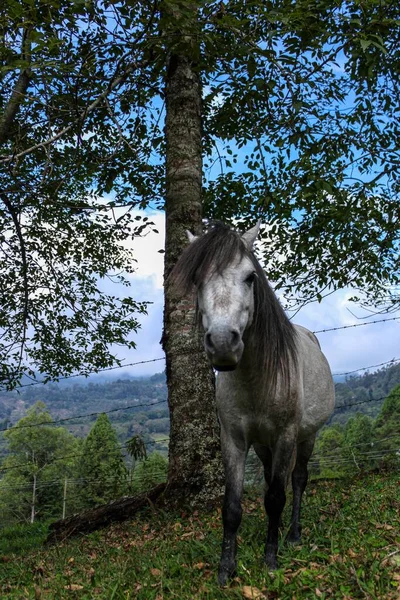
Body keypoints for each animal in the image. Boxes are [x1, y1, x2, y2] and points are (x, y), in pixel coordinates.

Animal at [170, 221, 336, 584]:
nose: (222, 343)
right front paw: (226, 570)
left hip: (306, 437)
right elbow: (233, 506)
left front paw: (270, 560)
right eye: (197, 279)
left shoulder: (286, 435)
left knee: (297, 480)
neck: (258, 378)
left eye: (250, 277)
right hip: (263, 445)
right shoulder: (234, 439)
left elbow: (276, 497)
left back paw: (293, 534)